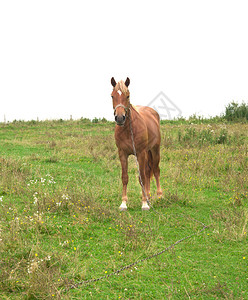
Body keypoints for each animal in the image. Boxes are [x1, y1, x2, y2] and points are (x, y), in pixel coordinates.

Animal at [111, 76, 163, 210]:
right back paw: (148, 196)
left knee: (155, 170)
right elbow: (125, 177)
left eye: (128, 96)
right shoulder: (122, 153)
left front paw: (144, 204)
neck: (129, 130)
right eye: (112, 96)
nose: (120, 118)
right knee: (148, 170)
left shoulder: (140, 153)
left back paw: (159, 196)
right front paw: (123, 203)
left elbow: (142, 177)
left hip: (154, 150)